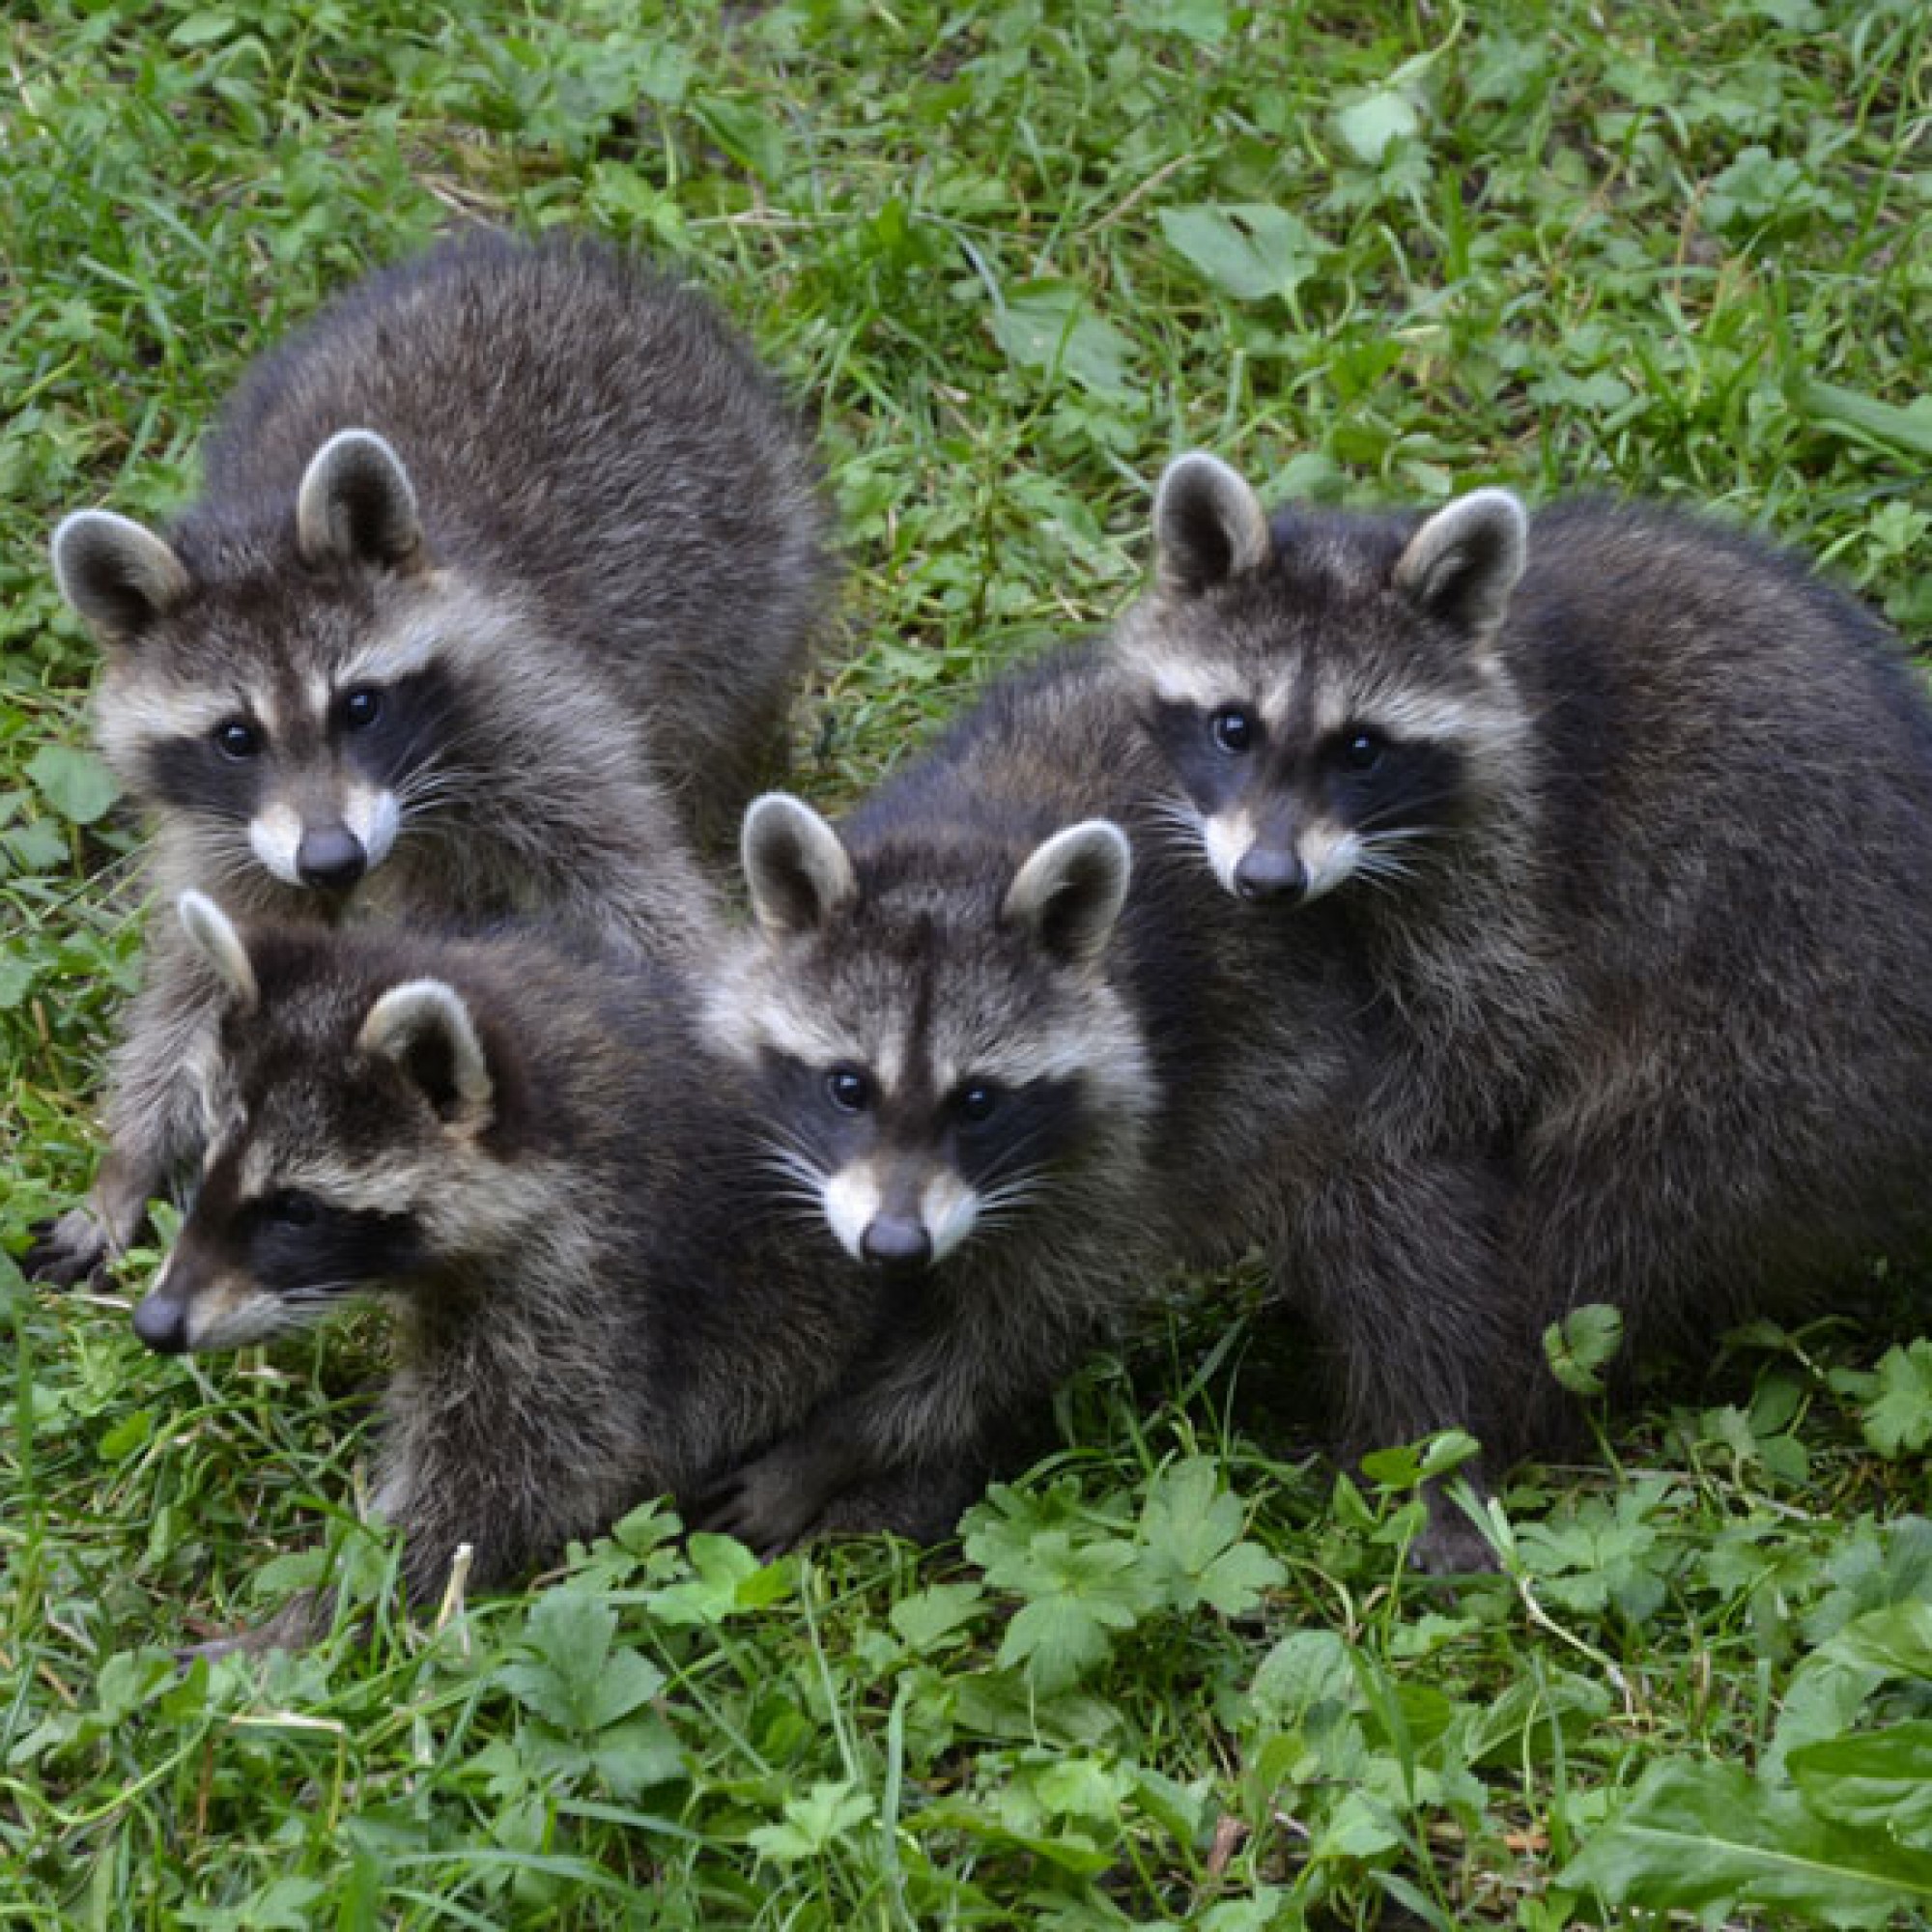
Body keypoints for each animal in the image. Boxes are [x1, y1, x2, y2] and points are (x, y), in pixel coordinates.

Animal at [32, 230, 831, 1283]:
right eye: (237, 736)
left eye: (360, 705)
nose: (333, 860)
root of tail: (535, 250)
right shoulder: (229, 827)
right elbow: (197, 979)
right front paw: (127, 1159)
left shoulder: (533, 709)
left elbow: (635, 878)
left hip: (750, 559)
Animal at [136, 893, 885, 1615]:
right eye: (207, 1164)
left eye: (296, 1209)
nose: (155, 1323)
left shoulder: (589, 1282)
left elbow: (515, 1478)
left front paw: (334, 1606)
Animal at [699, 653, 1360, 1553]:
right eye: (848, 1087)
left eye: (977, 1102)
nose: (896, 1248)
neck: (964, 842)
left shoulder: (1122, 1148)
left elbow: (999, 1337)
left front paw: (832, 1449)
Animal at [1113, 448, 1932, 1538]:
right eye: (1232, 727)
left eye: (1360, 748)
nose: (1268, 881)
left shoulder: (1518, 855)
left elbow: (1489, 1047)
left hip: (1783, 1038)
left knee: (1603, 1229)